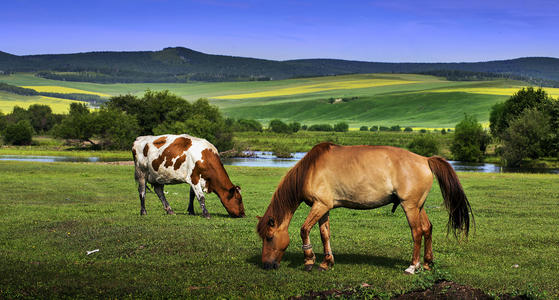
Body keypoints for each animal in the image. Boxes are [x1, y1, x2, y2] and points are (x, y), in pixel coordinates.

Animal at [258, 143, 472, 274]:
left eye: (269, 237)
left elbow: (304, 230)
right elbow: (324, 234)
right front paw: (326, 262)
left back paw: (413, 266)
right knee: (427, 229)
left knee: (417, 232)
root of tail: (425, 159)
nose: (266, 265)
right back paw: (427, 263)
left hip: (410, 206)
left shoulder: (320, 205)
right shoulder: (324, 208)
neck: (311, 170)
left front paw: (309, 261)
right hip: (419, 206)